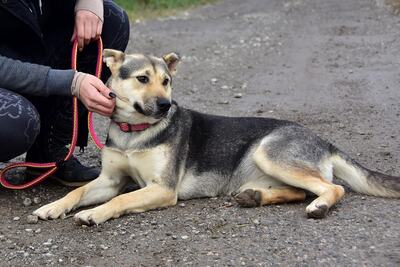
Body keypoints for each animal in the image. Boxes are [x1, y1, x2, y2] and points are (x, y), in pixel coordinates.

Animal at [32, 49, 400, 225]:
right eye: (142, 79)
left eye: (166, 81)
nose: (166, 105)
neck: (134, 133)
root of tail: (324, 141)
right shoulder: (109, 180)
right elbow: (77, 192)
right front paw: (52, 207)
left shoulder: (162, 189)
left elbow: (120, 200)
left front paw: (95, 213)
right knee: (300, 191)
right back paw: (255, 197)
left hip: (268, 152)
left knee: (333, 188)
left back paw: (319, 205)